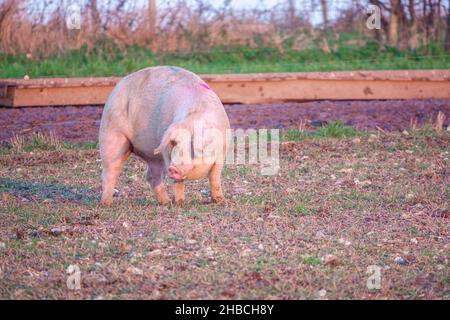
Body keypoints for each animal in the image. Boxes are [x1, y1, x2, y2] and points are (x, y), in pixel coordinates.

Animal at [100, 66, 230, 206]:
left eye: (194, 148)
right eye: (175, 144)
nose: (173, 168)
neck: (193, 117)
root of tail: (118, 86)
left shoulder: (222, 154)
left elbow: (215, 178)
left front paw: (221, 201)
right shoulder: (167, 154)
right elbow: (178, 183)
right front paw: (180, 203)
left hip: (153, 157)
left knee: (152, 176)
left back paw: (165, 202)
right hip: (111, 134)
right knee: (110, 172)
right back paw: (106, 203)